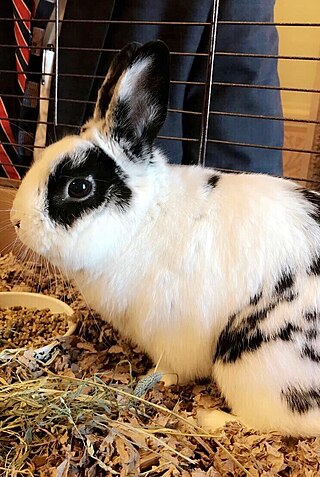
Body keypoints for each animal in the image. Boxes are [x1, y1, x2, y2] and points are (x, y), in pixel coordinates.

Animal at [10, 40, 320, 436]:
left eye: (78, 187)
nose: (17, 221)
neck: (144, 220)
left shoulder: (173, 338)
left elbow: (170, 370)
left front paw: (154, 381)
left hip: (255, 363)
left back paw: (212, 419)